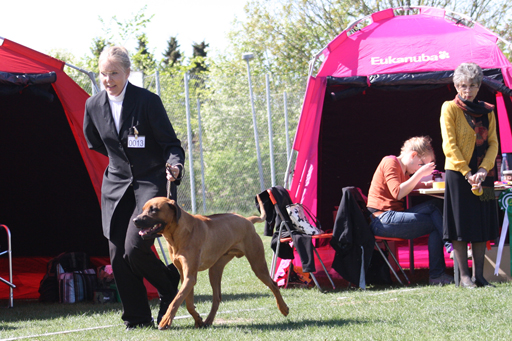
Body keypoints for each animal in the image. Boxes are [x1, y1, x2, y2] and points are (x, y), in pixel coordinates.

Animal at [134, 195, 290, 328]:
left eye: (154, 209)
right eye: (143, 209)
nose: (135, 220)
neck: (178, 234)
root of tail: (247, 220)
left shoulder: (190, 277)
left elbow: (176, 300)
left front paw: (165, 321)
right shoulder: (186, 276)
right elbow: (188, 302)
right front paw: (198, 319)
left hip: (258, 265)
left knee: (273, 284)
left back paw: (283, 308)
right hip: (215, 269)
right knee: (217, 297)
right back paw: (208, 320)